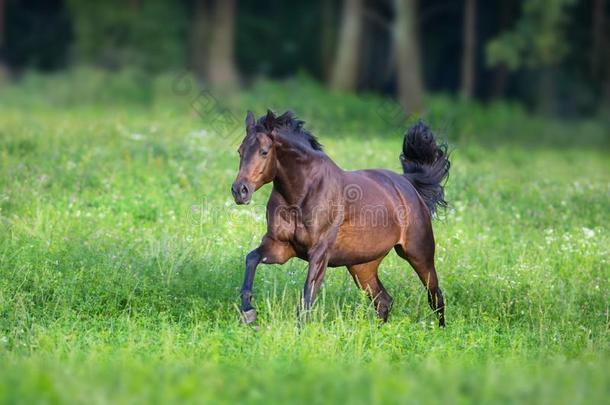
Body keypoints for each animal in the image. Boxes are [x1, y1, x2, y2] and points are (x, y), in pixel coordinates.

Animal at [230, 109, 448, 326]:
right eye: (240, 151)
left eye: (264, 151)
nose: (240, 191)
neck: (300, 195)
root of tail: (407, 183)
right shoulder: (279, 246)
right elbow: (251, 258)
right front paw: (248, 312)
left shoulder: (319, 253)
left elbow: (307, 297)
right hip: (362, 266)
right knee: (384, 301)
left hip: (418, 254)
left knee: (435, 296)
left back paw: (439, 330)